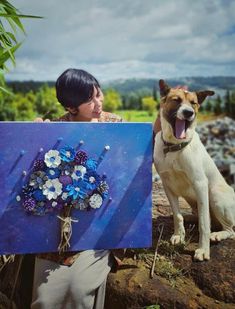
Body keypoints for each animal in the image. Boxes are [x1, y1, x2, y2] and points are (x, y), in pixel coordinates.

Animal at [153, 79, 234, 260]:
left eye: (194, 103)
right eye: (176, 100)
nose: (188, 113)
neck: (175, 147)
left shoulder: (200, 184)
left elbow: (204, 223)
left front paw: (203, 249)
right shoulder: (168, 185)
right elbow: (177, 215)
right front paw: (179, 235)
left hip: (215, 195)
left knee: (230, 229)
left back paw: (217, 235)